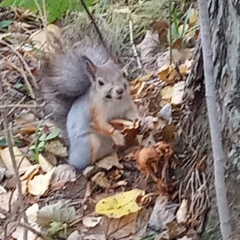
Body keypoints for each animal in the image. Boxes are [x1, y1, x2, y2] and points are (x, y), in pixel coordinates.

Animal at [39, 23, 139, 169]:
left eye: (123, 74)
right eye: (100, 82)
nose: (120, 90)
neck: (114, 101)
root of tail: (72, 154)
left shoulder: (127, 106)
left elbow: (132, 113)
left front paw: (143, 120)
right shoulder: (94, 113)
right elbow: (102, 126)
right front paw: (116, 135)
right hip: (90, 143)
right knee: (87, 162)